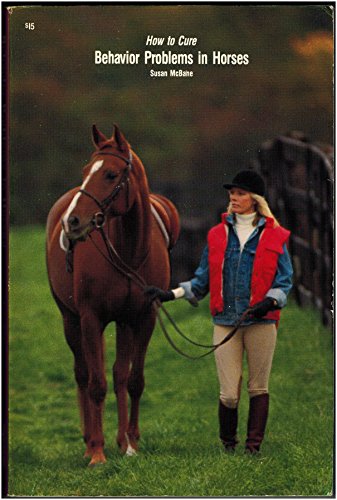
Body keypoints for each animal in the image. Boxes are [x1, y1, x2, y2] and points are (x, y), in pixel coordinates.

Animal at [46, 124, 181, 464]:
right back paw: (89, 442)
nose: (72, 222)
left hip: (122, 323)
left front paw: (131, 443)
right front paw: (97, 452)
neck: (128, 251)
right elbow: (96, 384)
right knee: (83, 374)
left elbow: (133, 381)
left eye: (110, 174)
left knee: (119, 375)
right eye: (86, 171)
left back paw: (121, 442)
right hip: (70, 321)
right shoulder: (91, 319)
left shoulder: (143, 318)